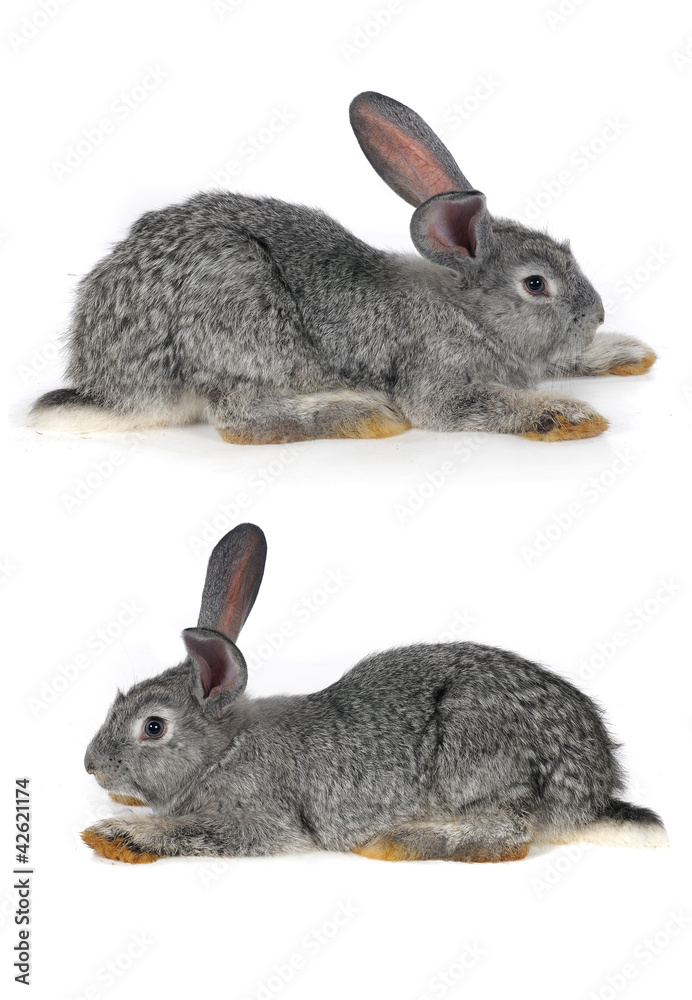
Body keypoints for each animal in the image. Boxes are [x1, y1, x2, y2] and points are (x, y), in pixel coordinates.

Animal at [30, 92, 655, 445]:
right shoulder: (438, 379)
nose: (597, 315)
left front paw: (627, 354)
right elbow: (476, 405)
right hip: (242, 315)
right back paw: (360, 415)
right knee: (240, 417)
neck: (465, 311)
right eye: (535, 284)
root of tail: (111, 384)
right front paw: (569, 417)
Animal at [81, 523, 668, 864]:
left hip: (476, 756)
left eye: (153, 727)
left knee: (507, 834)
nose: (90, 766)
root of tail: (592, 793)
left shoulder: (260, 818)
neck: (223, 751)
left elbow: (191, 831)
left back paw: (400, 841)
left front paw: (116, 834)